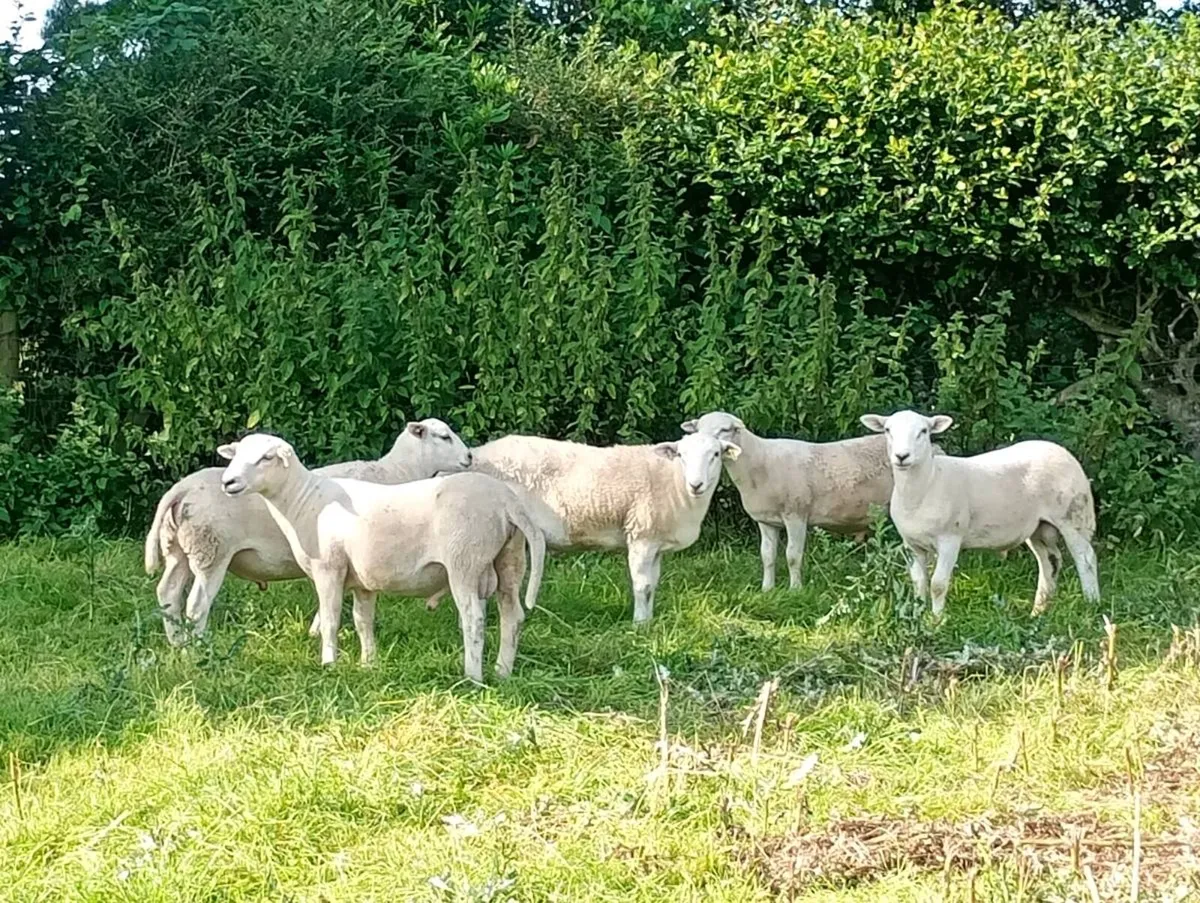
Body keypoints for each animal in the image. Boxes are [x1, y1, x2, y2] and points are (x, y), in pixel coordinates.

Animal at [144, 419, 472, 644]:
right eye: (445, 436)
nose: (469, 457)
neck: (397, 473)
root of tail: (181, 488)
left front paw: (315, 631)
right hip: (212, 549)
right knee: (196, 604)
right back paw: (198, 648)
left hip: (181, 549)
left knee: (168, 594)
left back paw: (177, 644)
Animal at [218, 433, 546, 682]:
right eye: (235, 455)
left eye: (266, 457)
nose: (228, 482)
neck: (303, 500)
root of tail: (506, 501)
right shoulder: (363, 579)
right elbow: (363, 621)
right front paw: (368, 664)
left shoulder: (329, 570)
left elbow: (331, 620)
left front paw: (329, 664)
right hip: (510, 559)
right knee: (512, 616)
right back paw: (503, 672)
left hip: (465, 561)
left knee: (474, 619)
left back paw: (472, 677)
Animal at [465, 432, 740, 624]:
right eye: (682, 455)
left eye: (716, 454)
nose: (696, 484)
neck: (673, 482)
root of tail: (476, 455)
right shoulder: (640, 536)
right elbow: (642, 586)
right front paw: (640, 625)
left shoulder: (655, 543)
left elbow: (653, 585)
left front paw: (649, 621)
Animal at [681, 411, 897, 592]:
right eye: (697, 429)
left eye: (725, 429)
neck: (758, 463)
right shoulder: (766, 520)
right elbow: (767, 555)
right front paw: (767, 589)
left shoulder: (796, 516)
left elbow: (793, 556)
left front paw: (795, 590)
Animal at [860, 409, 1100, 620]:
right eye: (888, 430)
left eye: (923, 431)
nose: (902, 456)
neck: (927, 484)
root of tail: (1062, 451)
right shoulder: (912, 545)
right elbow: (919, 583)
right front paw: (917, 616)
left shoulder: (950, 540)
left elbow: (937, 584)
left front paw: (936, 621)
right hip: (1039, 525)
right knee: (1050, 561)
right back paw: (1038, 611)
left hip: (1073, 514)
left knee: (1085, 558)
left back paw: (1091, 604)